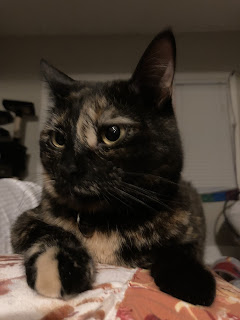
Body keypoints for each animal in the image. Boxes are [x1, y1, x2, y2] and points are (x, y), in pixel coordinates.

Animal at [10, 30, 216, 308]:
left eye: (112, 133)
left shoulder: (190, 228)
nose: (68, 168)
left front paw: (190, 278)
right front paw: (59, 267)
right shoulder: (26, 220)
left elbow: (179, 249)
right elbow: (51, 232)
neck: (105, 221)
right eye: (58, 139)